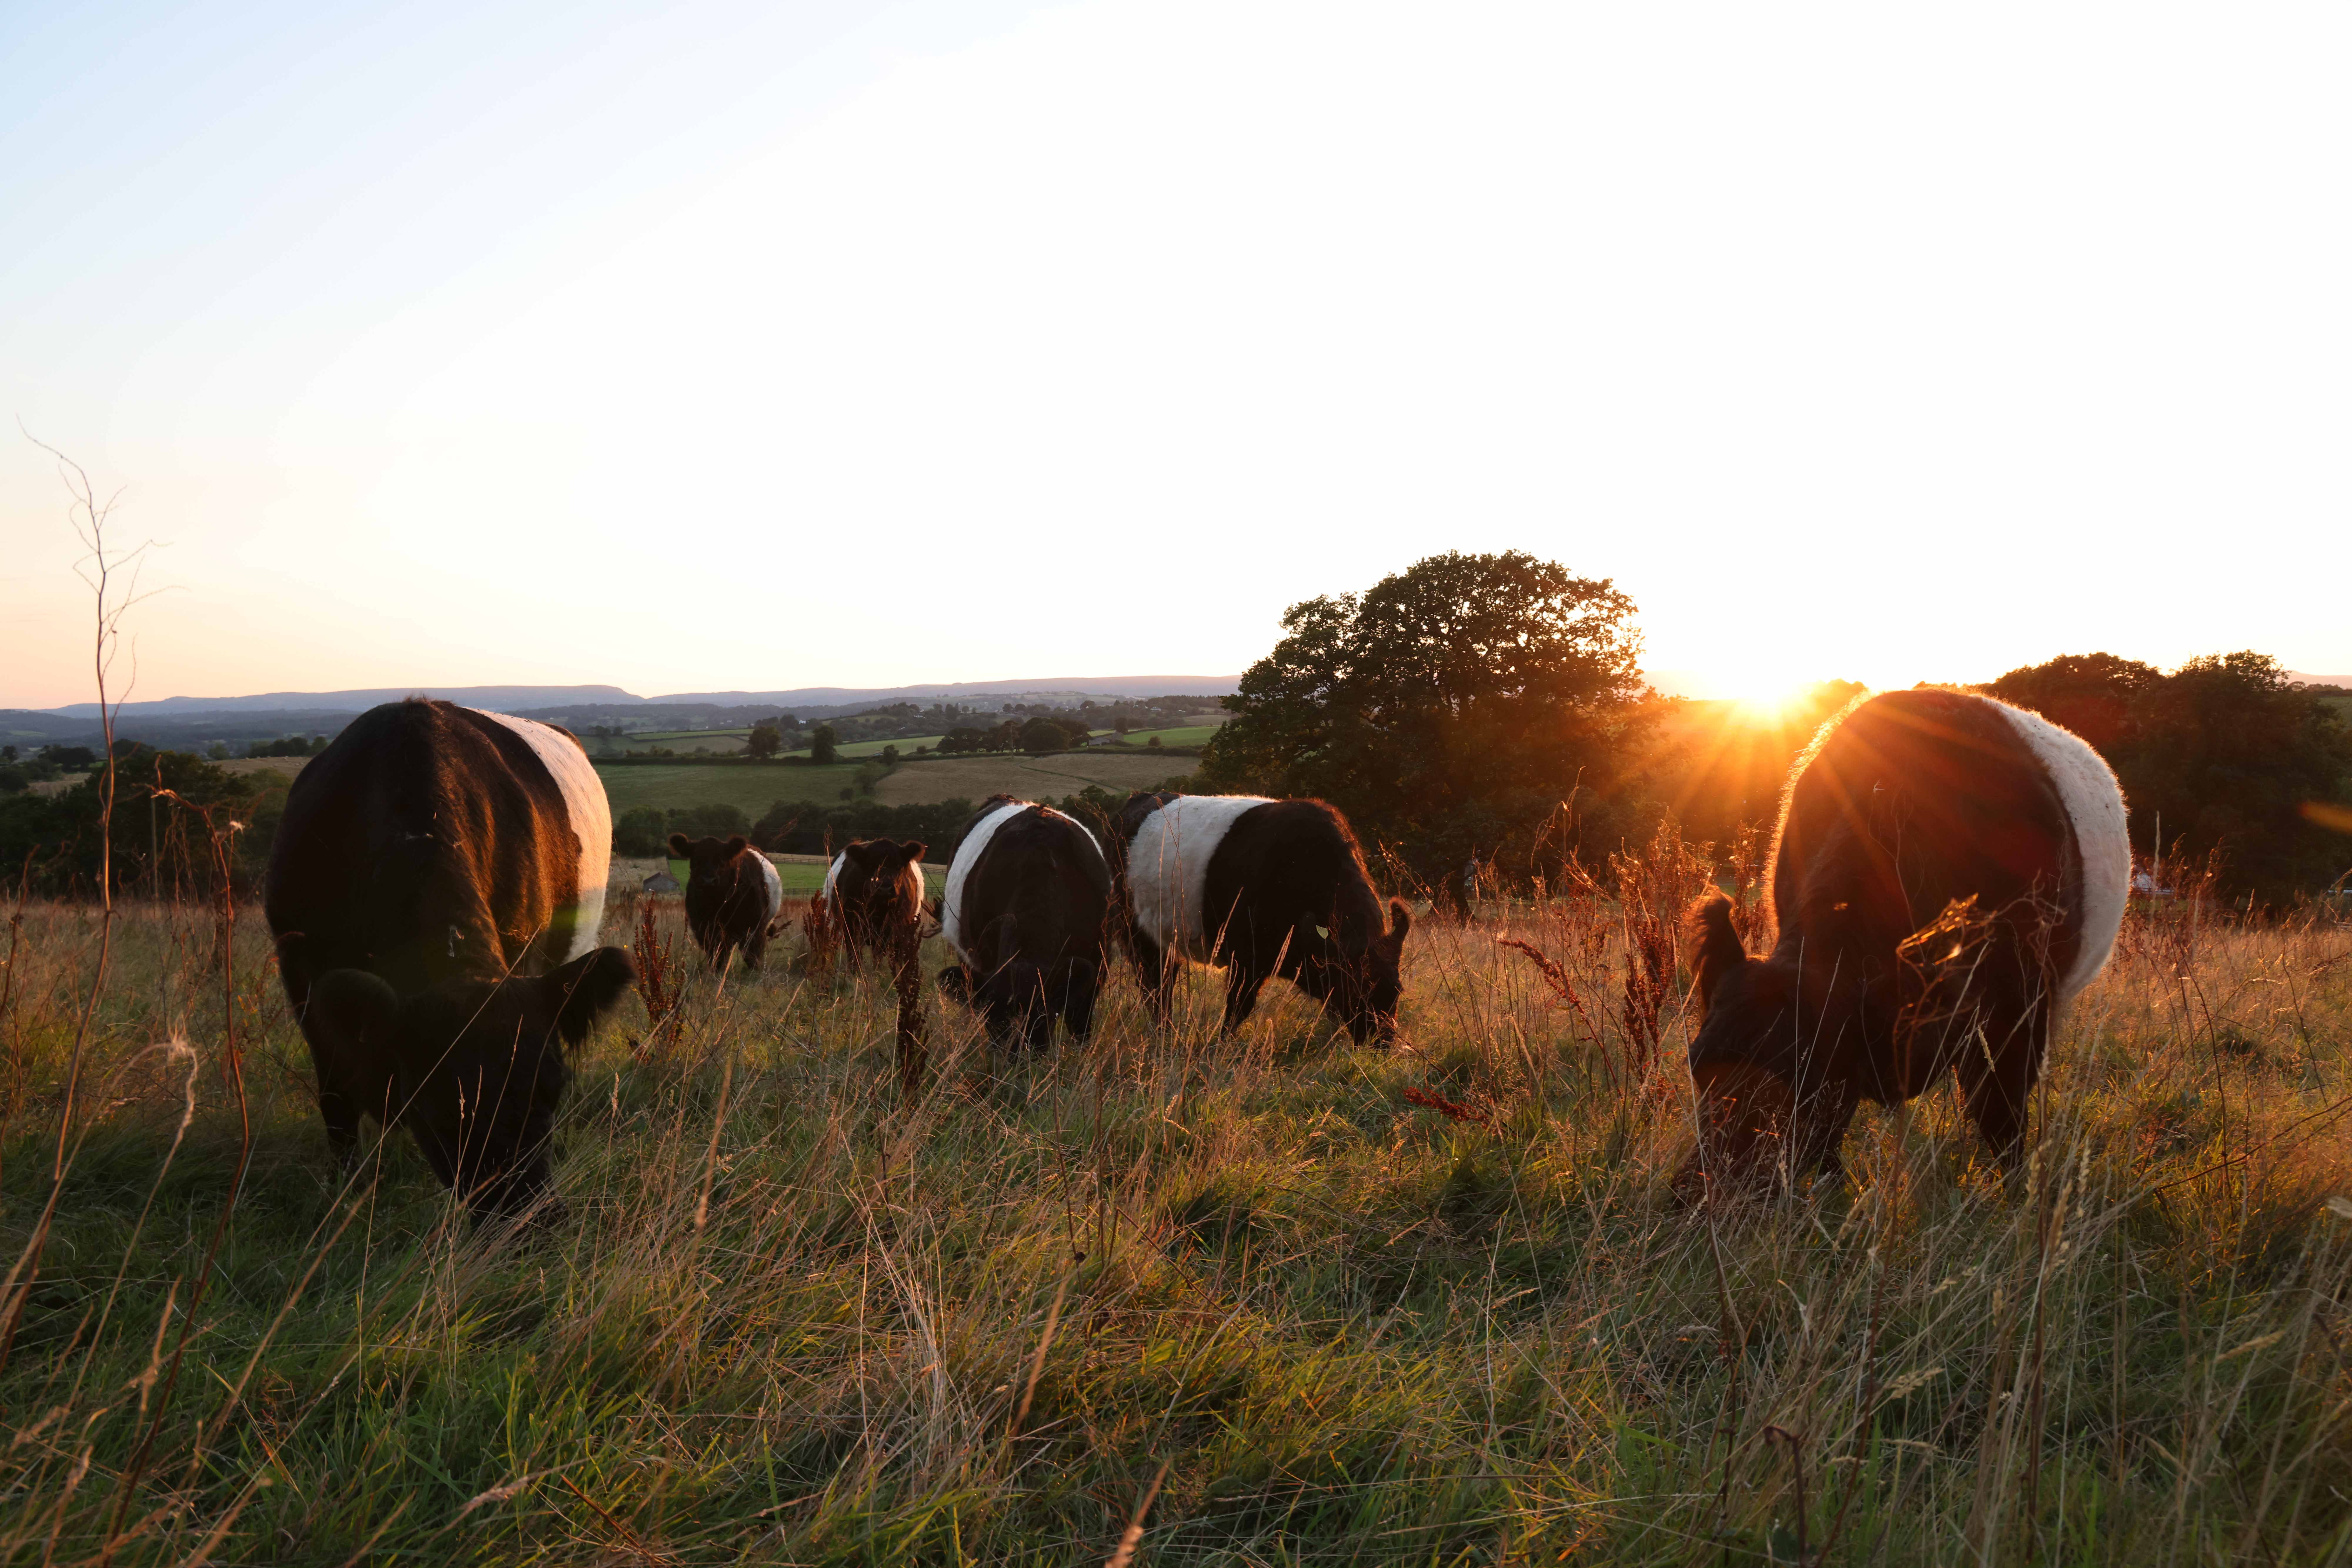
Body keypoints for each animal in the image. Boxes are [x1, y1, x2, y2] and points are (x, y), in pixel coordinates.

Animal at [264, 698, 637, 1219]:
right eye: (437, 1105)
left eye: (554, 1088)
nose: (529, 1217)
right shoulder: (302, 973)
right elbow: (336, 1095)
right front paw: (344, 1187)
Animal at [668, 833, 783, 972]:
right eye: (696, 860)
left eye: (722, 861)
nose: (708, 881)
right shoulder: (704, 928)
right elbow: (716, 954)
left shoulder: (753, 927)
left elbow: (751, 956)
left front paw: (755, 972)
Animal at [1113, 793, 1412, 1044]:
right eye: (1356, 991)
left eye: (1398, 991)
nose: (1382, 1042)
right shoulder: (1246, 957)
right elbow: (1239, 1007)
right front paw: (1221, 1045)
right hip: (1136, 932)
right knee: (1155, 986)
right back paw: (1163, 1032)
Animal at [1679, 687, 2129, 1196]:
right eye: (1695, 1066)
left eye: (1807, 1082)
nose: (1698, 1194)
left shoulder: (2021, 1002)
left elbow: (2000, 1109)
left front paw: (2016, 1192)